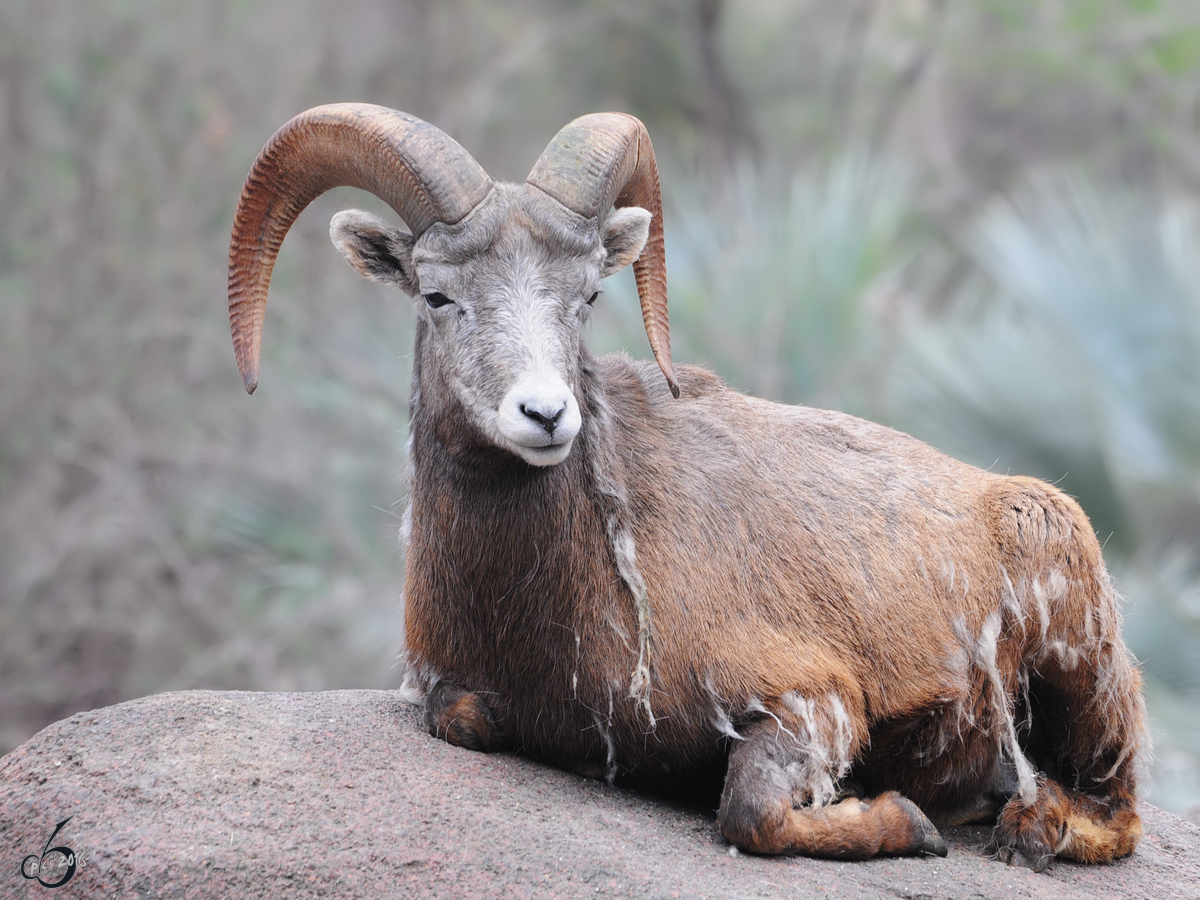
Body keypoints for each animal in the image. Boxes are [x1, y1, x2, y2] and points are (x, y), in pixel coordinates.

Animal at [229, 105, 1147, 873]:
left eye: (587, 295)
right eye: (437, 293)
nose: (545, 415)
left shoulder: (814, 703)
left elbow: (751, 814)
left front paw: (907, 822)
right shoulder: (449, 691)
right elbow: (466, 719)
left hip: (1081, 665)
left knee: (1120, 811)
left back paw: (1032, 829)